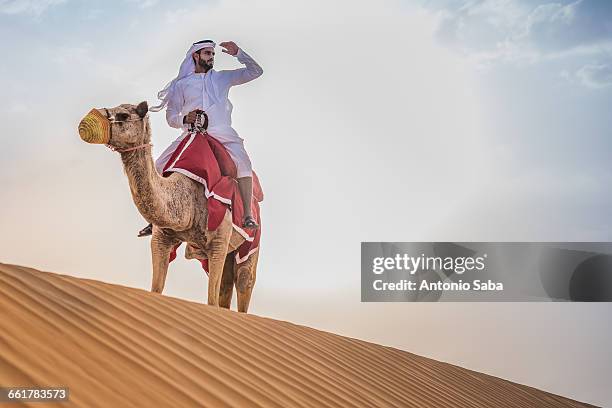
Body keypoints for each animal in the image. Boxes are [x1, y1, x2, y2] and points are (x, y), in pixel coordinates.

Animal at [77, 101, 258, 312]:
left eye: (123, 115)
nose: (85, 122)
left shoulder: (219, 242)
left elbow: (211, 301)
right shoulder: (161, 238)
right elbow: (156, 289)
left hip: (250, 246)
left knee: (244, 280)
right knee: (226, 286)